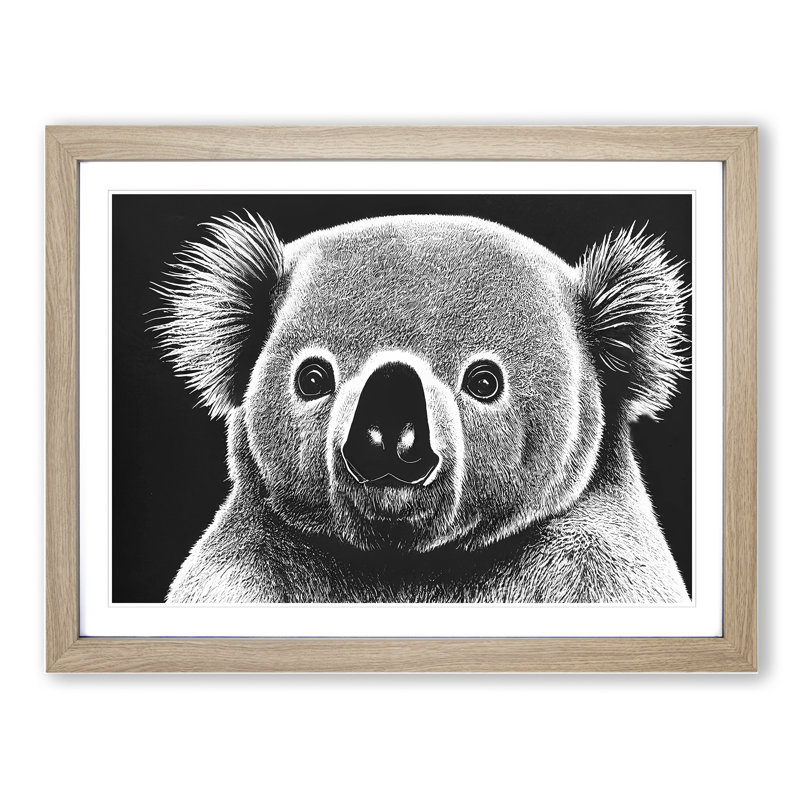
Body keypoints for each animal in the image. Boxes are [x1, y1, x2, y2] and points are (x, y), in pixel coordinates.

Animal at [153, 211, 690, 603]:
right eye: (313, 378)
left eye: (484, 381)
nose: (388, 440)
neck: (409, 567)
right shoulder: (239, 573)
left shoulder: (601, 572)